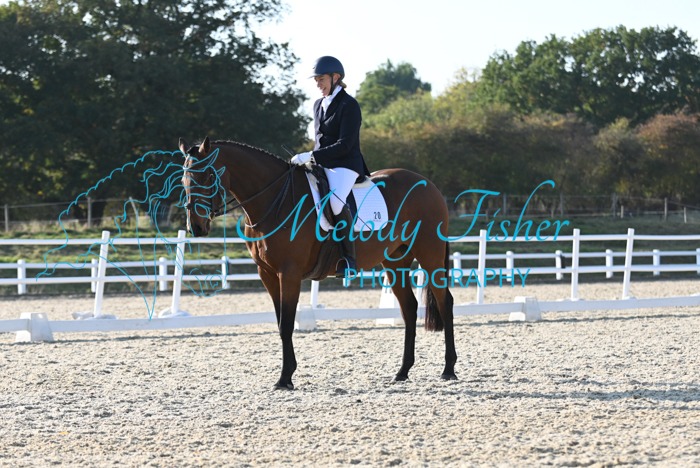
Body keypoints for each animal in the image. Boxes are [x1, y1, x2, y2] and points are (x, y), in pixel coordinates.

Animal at [179, 137, 457, 390]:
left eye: (206, 176)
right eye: (184, 180)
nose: (196, 227)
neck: (273, 199)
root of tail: (428, 184)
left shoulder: (289, 273)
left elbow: (286, 325)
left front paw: (285, 378)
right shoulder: (267, 274)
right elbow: (280, 323)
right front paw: (287, 375)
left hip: (429, 255)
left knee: (445, 302)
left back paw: (448, 369)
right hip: (395, 261)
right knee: (409, 308)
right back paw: (402, 372)